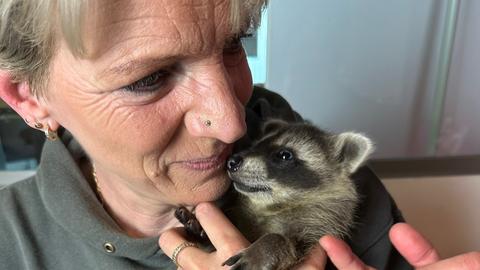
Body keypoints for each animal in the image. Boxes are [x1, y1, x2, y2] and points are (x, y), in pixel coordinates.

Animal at [171, 120, 374, 270]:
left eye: (284, 155)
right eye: (257, 145)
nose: (231, 161)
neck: (270, 206)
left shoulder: (317, 228)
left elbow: (284, 242)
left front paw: (262, 250)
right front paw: (200, 230)